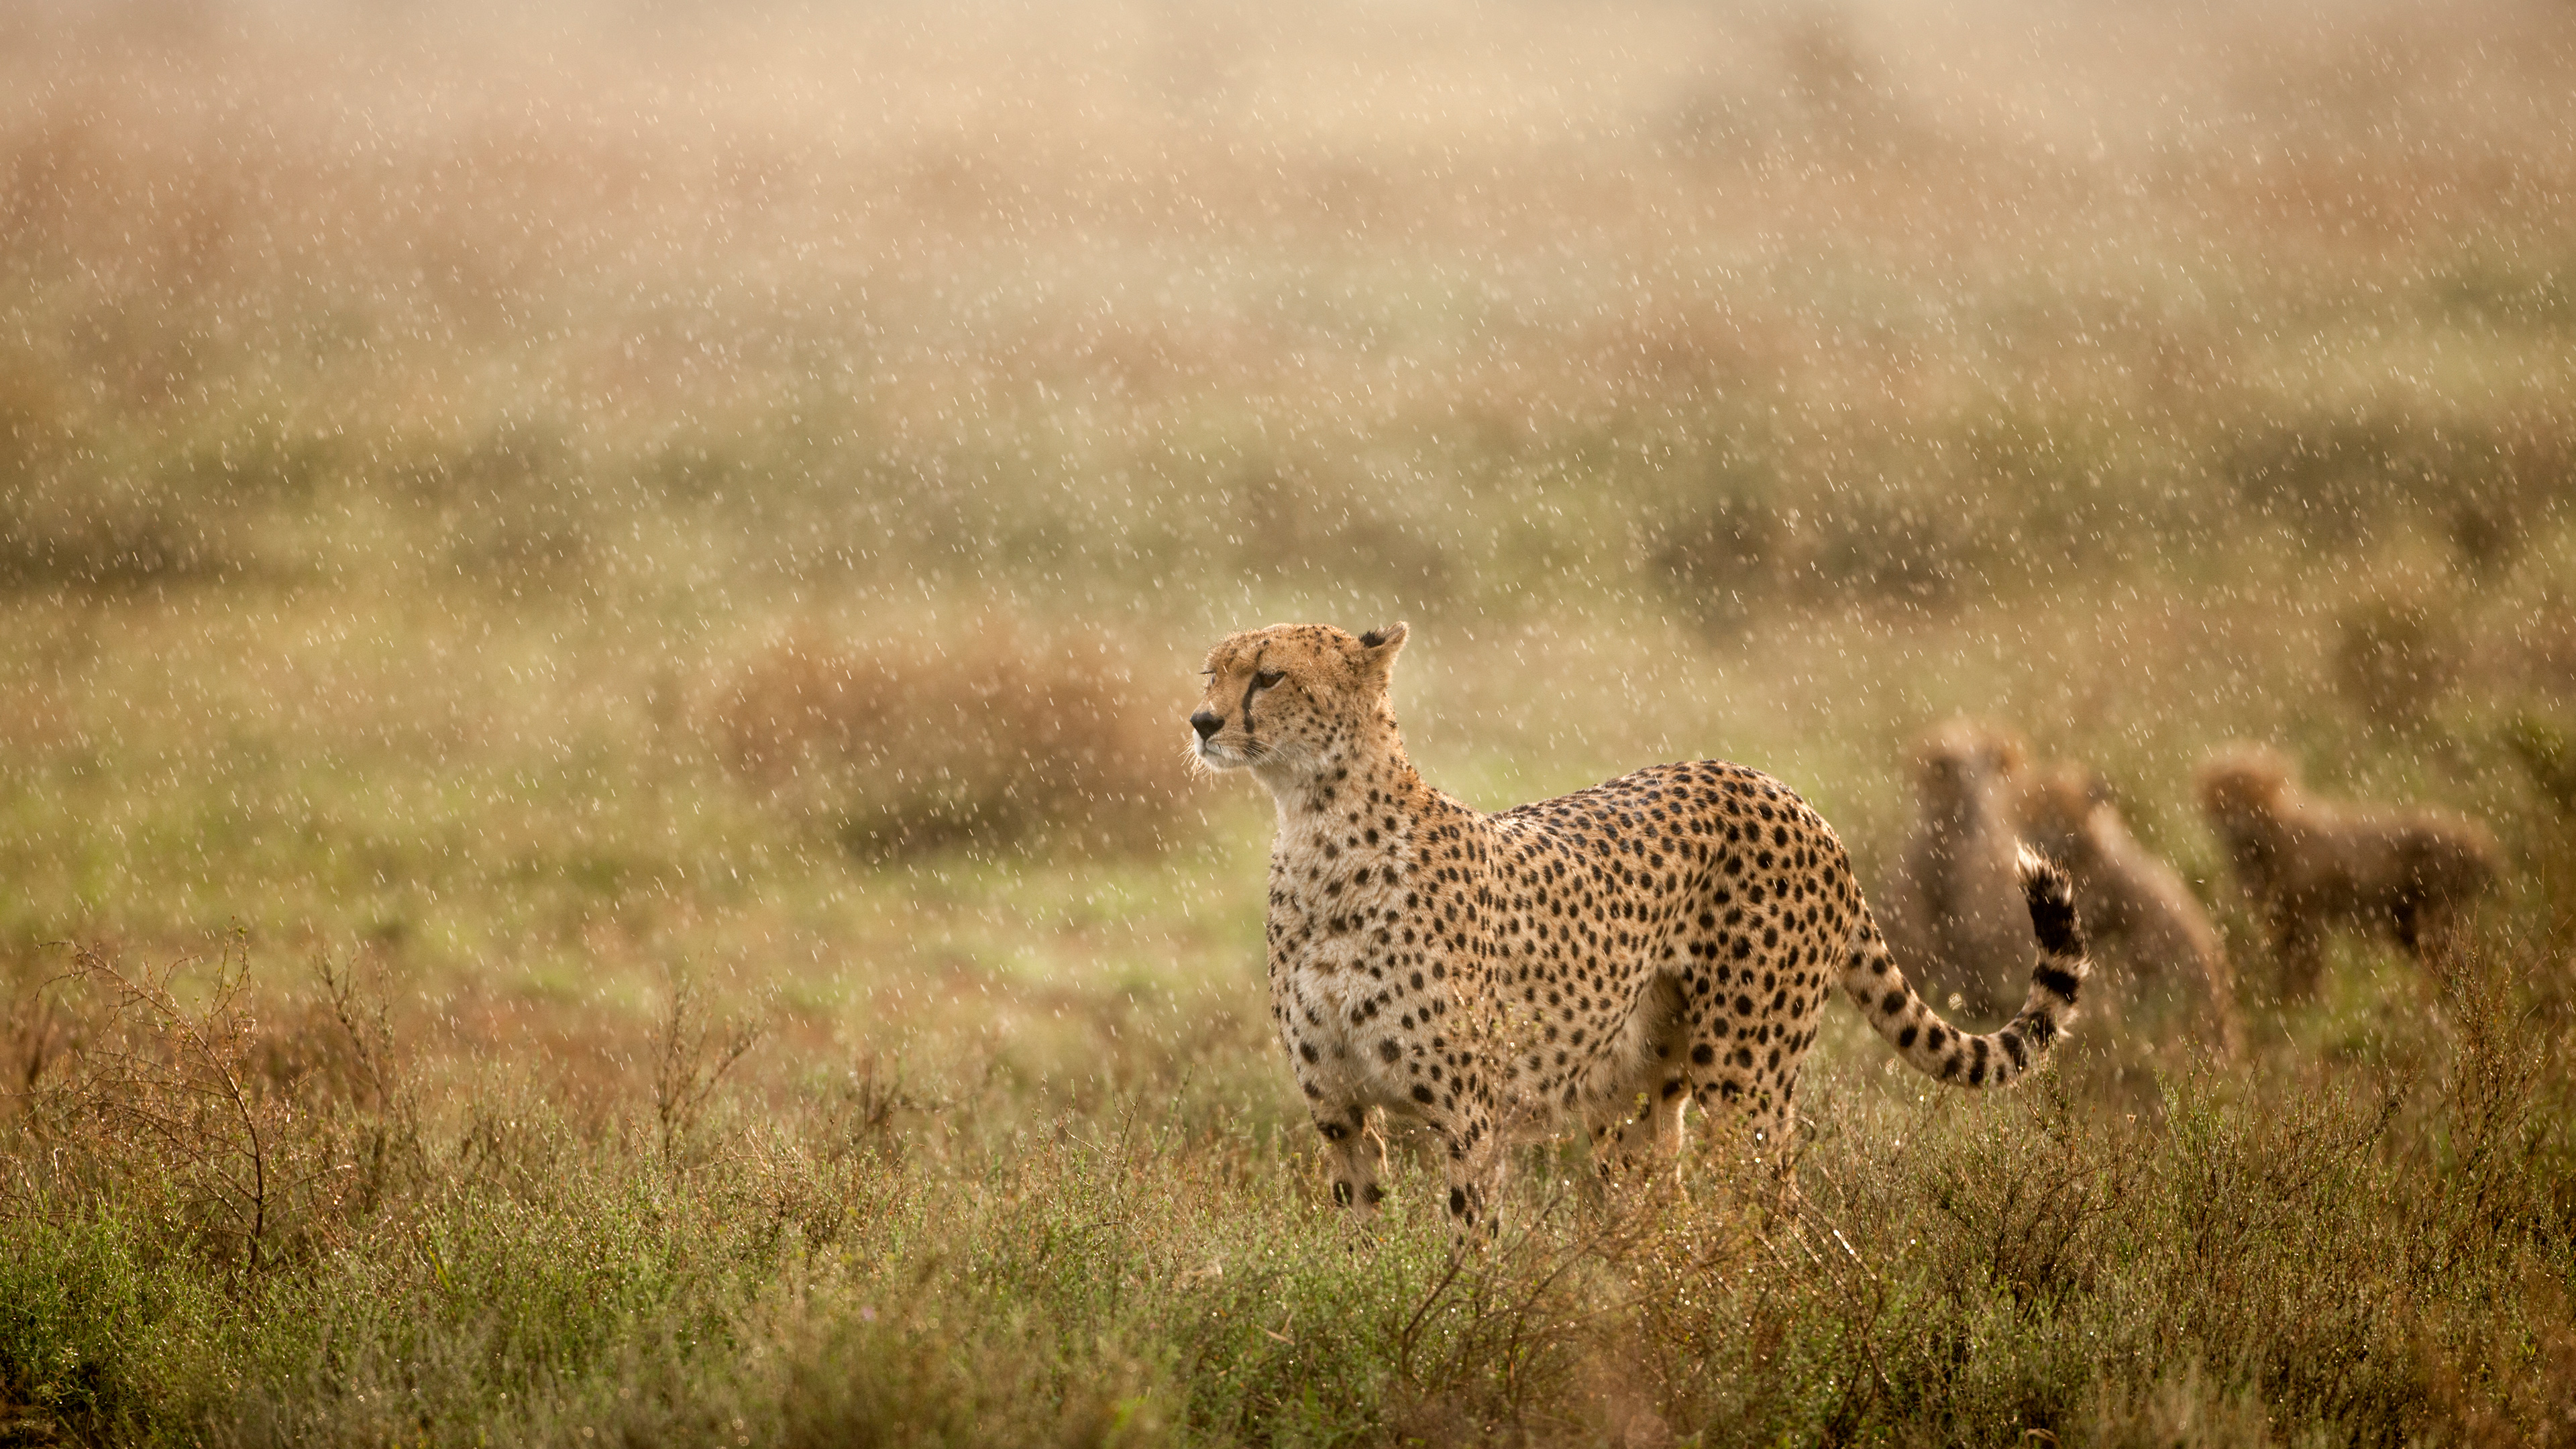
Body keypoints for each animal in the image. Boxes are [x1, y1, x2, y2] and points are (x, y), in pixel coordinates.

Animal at [1185, 621, 2092, 1227]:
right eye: (1211, 673)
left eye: (1268, 677)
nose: (1202, 723)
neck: (1315, 828)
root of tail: (1784, 791)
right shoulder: (1338, 1113)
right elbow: (1360, 1241)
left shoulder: (1471, 1118)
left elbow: (1470, 1247)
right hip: (1632, 1099)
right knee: (1665, 1216)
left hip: (1745, 1075)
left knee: (1775, 1219)